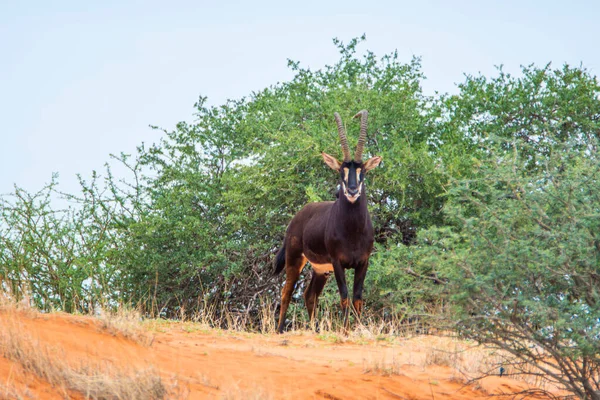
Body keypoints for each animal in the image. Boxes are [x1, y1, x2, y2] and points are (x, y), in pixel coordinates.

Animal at [274, 109, 382, 332]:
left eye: (362, 172)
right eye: (341, 171)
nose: (352, 191)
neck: (353, 231)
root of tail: (298, 216)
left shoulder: (363, 262)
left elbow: (358, 297)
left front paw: (357, 329)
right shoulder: (338, 262)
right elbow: (345, 297)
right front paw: (346, 330)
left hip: (320, 270)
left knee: (309, 295)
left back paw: (314, 329)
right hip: (295, 259)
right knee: (286, 292)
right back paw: (279, 330)